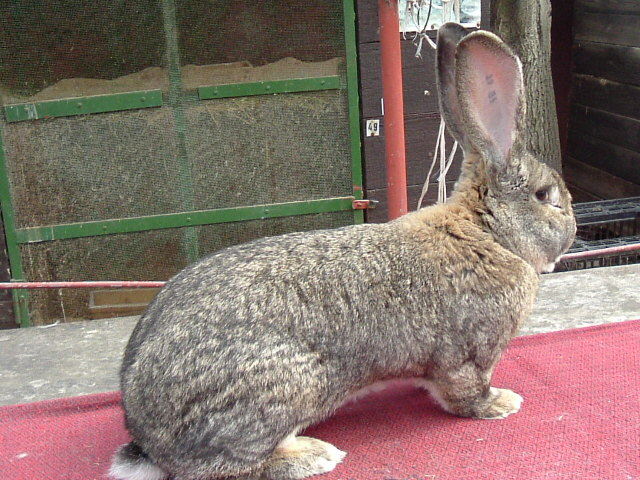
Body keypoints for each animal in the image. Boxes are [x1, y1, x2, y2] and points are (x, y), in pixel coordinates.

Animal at [110, 24, 576, 480]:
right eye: (545, 196)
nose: (573, 230)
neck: (486, 234)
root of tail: (149, 441)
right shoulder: (468, 354)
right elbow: (467, 393)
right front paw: (502, 404)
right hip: (287, 387)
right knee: (225, 465)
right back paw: (313, 455)